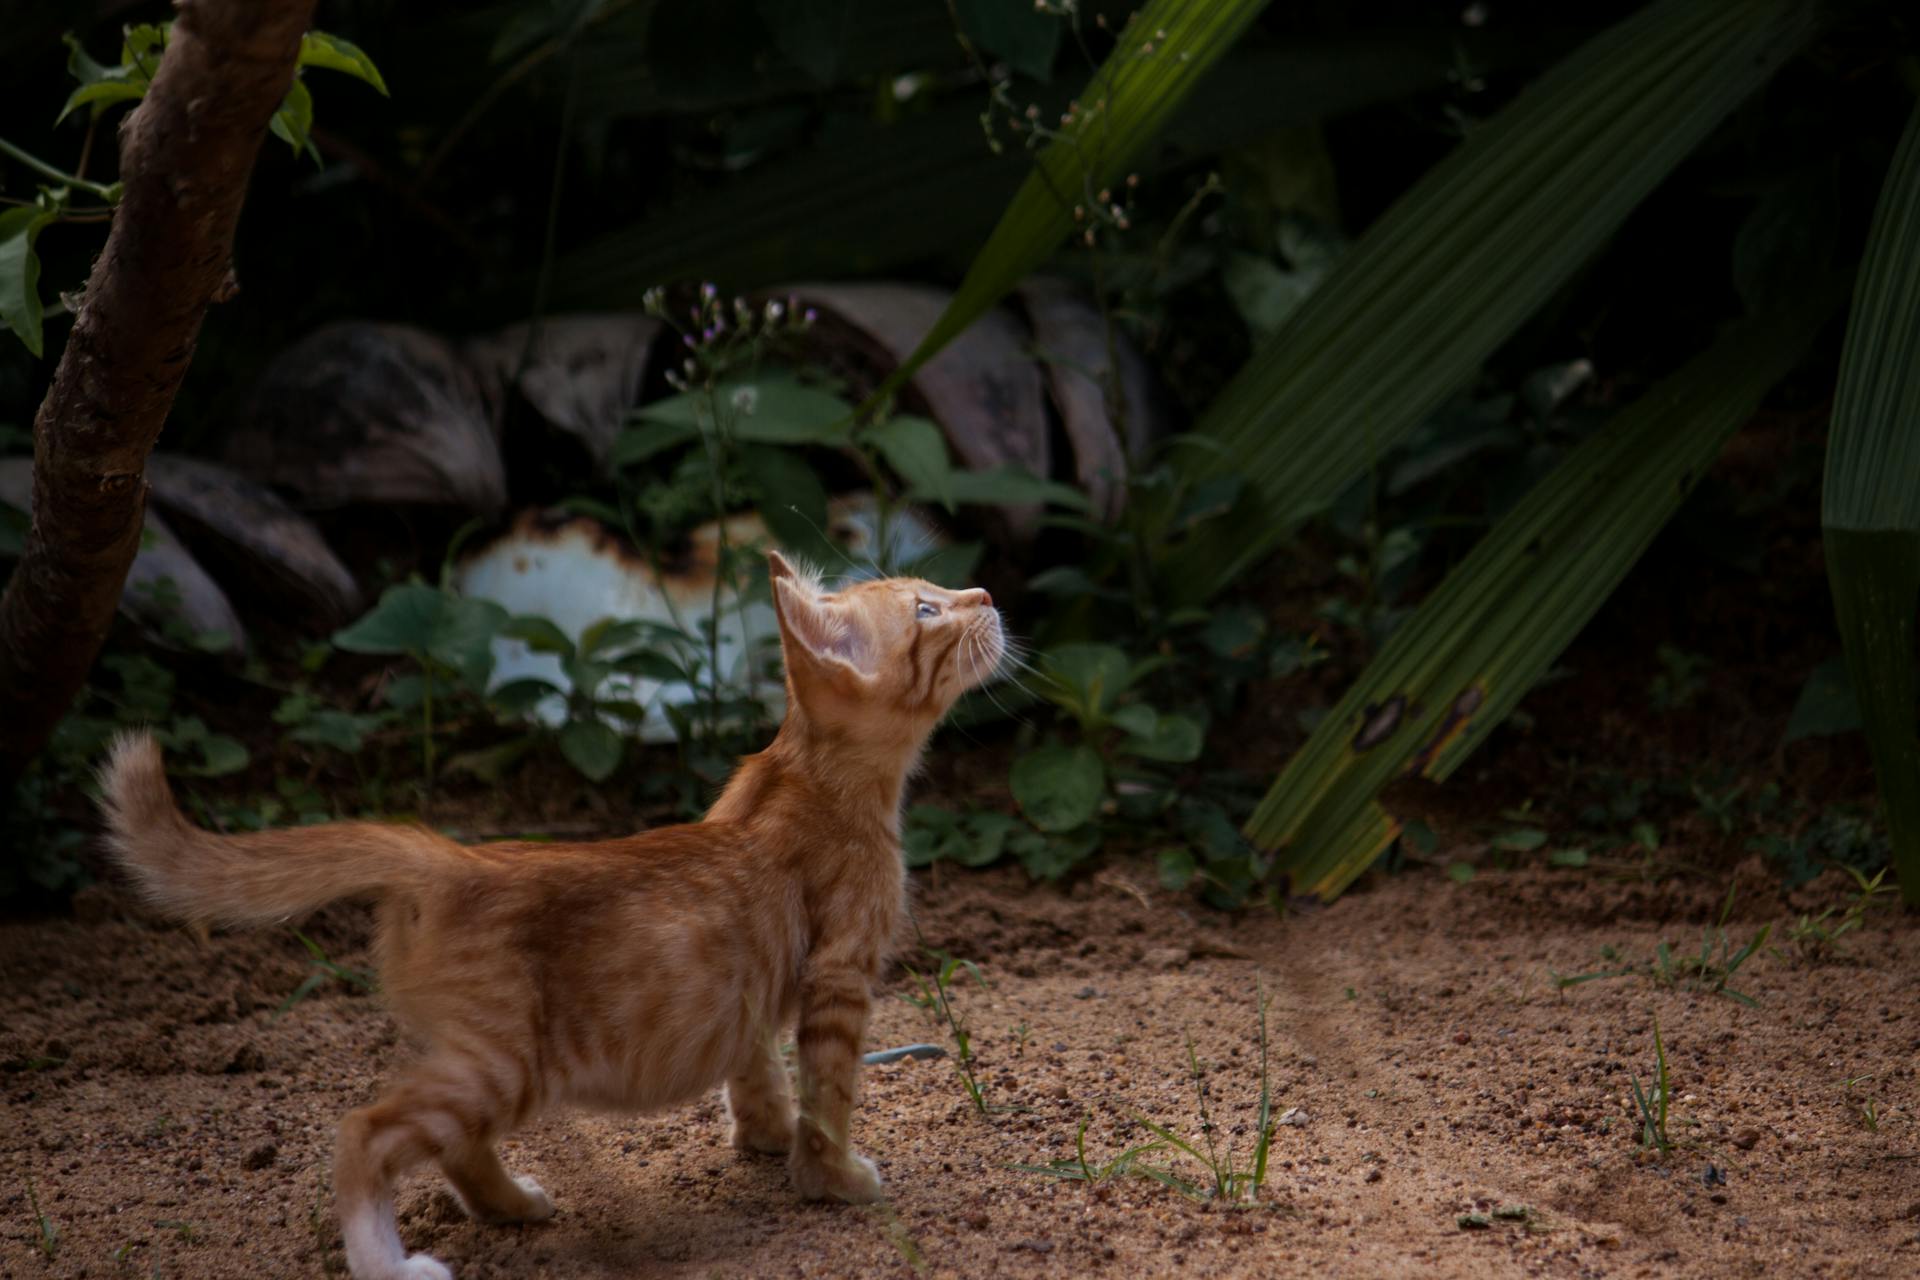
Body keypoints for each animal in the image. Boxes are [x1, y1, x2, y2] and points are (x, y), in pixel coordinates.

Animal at [99, 552, 1006, 1280]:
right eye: (926, 610)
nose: (987, 592)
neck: (809, 776)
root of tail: (449, 855)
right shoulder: (841, 973)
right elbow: (830, 1088)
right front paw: (833, 1179)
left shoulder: (747, 982)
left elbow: (757, 1067)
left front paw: (766, 1137)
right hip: (504, 1062)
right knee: (363, 1132)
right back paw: (390, 1264)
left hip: (480, 1060)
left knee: (453, 1144)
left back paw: (511, 1205)